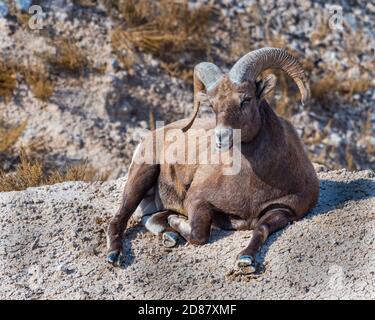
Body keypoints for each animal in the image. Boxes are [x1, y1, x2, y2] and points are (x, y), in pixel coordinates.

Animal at [106, 47, 320, 272]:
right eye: (213, 106)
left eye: (246, 99)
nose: (221, 137)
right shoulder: (197, 201)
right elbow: (199, 235)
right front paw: (177, 221)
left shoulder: (284, 210)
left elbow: (261, 228)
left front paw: (246, 259)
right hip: (141, 176)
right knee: (119, 218)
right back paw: (115, 254)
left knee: (149, 218)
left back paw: (169, 236)